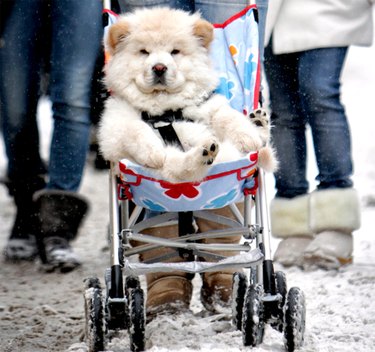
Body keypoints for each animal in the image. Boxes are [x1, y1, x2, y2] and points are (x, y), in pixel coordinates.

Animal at [99, 7, 276, 183]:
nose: (159, 67)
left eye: (175, 52)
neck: (165, 110)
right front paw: (154, 153)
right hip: (164, 168)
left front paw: (248, 137)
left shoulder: (208, 106)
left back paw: (258, 123)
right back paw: (205, 153)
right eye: (144, 52)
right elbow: (135, 128)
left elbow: (228, 117)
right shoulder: (113, 128)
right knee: (181, 168)